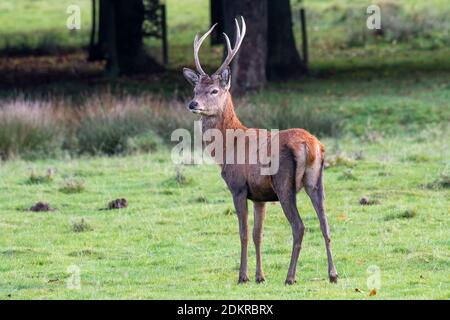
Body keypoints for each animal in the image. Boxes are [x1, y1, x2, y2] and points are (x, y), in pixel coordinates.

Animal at [182, 16, 338, 284]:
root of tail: (309, 145)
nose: (193, 104)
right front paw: (260, 276)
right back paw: (333, 274)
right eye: (195, 89)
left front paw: (243, 276)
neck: (227, 149)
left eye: (214, 90)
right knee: (325, 223)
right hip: (317, 181)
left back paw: (290, 277)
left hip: (284, 183)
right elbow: (258, 234)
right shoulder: (260, 195)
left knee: (299, 226)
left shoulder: (238, 187)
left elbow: (243, 232)